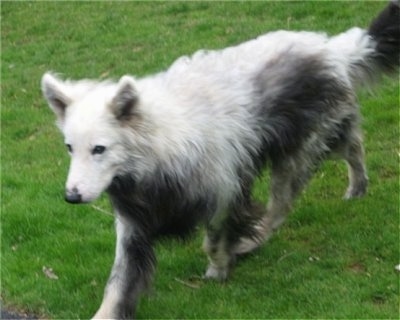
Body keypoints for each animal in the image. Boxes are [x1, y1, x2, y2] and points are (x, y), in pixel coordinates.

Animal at [41, 1, 400, 318]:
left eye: (99, 149)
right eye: (70, 148)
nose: (71, 197)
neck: (160, 148)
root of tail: (330, 48)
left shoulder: (224, 194)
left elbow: (213, 242)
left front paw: (220, 267)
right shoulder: (134, 224)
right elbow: (118, 284)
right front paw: (106, 313)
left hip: (294, 154)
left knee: (283, 204)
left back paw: (257, 237)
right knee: (352, 145)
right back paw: (358, 187)